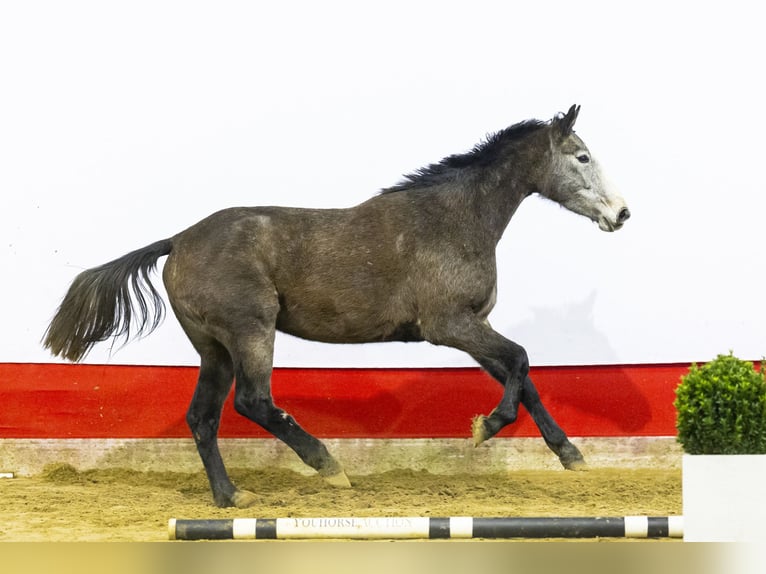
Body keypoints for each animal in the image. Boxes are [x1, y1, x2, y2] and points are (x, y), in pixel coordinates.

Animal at [43, 103, 632, 508]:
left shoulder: (473, 327)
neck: (453, 221)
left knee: (203, 418)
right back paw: (329, 466)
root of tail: (178, 240)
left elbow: (523, 376)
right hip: (251, 331)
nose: (622, 213)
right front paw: (485, 428)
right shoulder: (449, 325)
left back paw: (232, 497)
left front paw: (572, 456)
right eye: (582, 156)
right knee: (253, 402)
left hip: (214, 348)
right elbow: (522, 362)